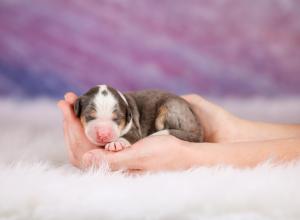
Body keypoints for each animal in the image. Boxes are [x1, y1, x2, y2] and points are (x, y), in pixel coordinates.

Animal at [74, 84, 204, 151]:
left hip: (170, 109)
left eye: (117, 119)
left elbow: (128, 137)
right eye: (89, 116)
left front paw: (115, 144)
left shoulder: (134, 130)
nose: (103, 135)